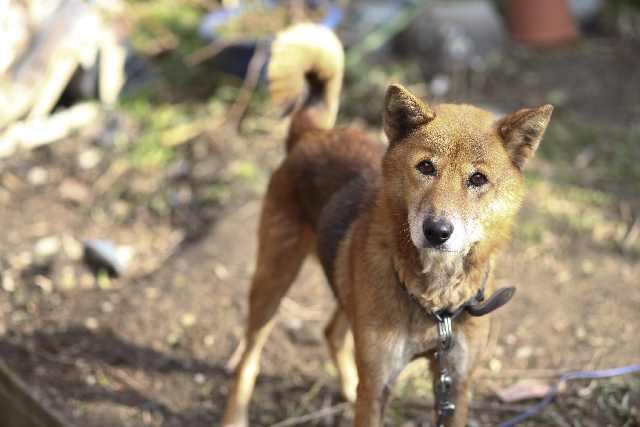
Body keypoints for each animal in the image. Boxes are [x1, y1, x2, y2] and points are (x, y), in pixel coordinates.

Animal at [220, 24, 552, 427]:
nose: (436, 231)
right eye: (425, 167)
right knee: (249, 358)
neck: (435, 307)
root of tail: (313, 135)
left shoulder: (455, 383)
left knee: (331, 332)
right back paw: (235, 414)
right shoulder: (379, 383)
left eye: (477, 179)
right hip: (272, 280)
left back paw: (347, 388)